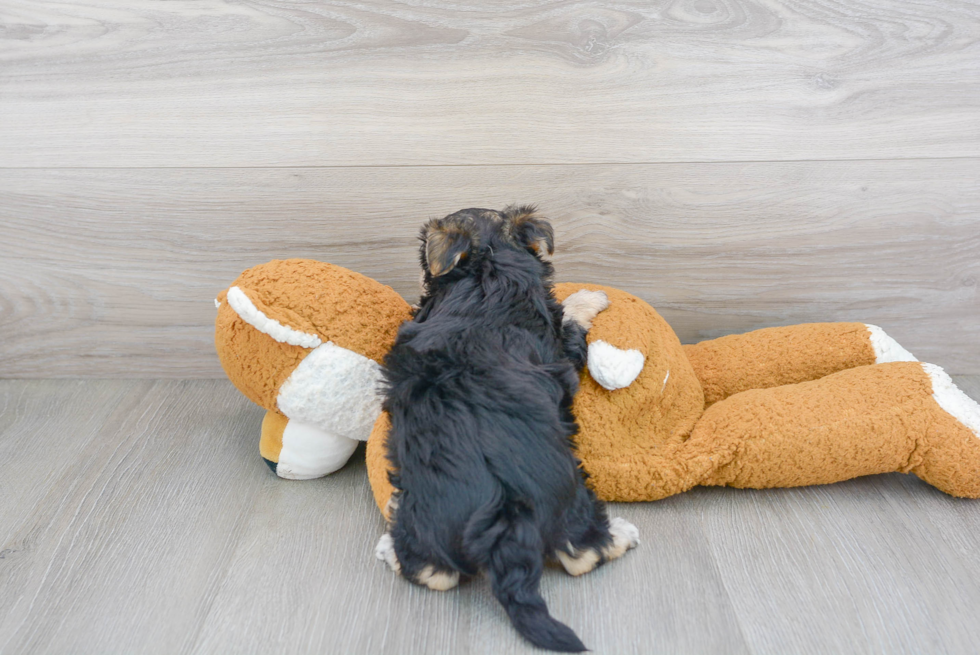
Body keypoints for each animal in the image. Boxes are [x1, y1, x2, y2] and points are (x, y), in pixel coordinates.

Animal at [372, 208, 640, 652]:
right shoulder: (561, 342)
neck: (490, 267)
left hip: (429, 517)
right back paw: (620, 534)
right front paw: (591, 297)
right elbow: (570, 316)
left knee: (434, 572)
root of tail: (503, 510)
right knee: (581, 553)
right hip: (571, 494)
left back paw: (392, 547)